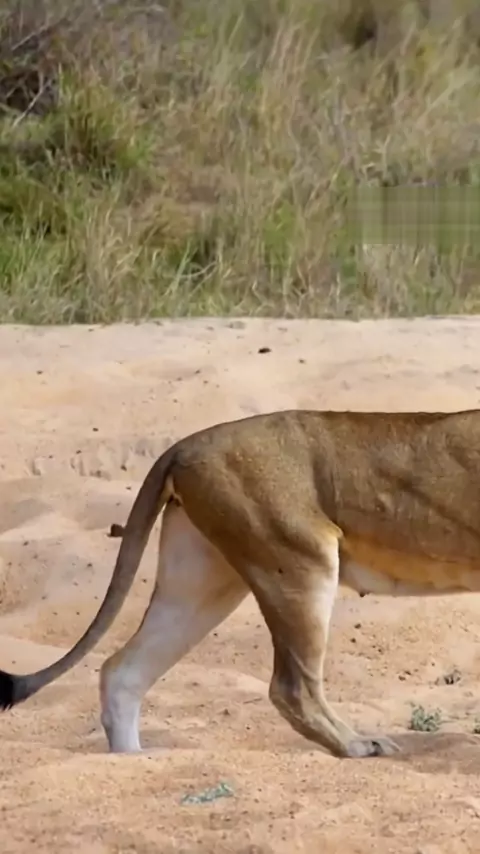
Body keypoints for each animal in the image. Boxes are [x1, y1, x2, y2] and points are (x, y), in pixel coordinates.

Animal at [1, 408, 479, 759]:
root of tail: (184, 444)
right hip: (298, 560)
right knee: (291, 686)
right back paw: (359, 745)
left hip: (202, 583)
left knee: (123, 671)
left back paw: (133, 763)